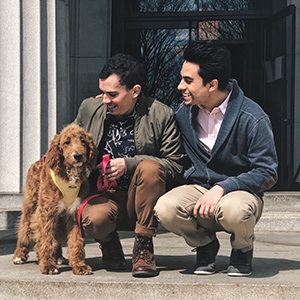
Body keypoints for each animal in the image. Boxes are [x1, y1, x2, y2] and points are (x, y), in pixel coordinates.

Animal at [12, 123, 97, 276]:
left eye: (83, 141)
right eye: (66, 142)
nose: (78, 156)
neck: (69, 177)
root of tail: (39, 160)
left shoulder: (74, 213)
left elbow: (76, 241)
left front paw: (79, 266)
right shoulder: (47, 212)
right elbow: (46, 239)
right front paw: (47, 265)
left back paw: (57, 257)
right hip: (31, 207)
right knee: (25, 229)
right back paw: (19, 255)